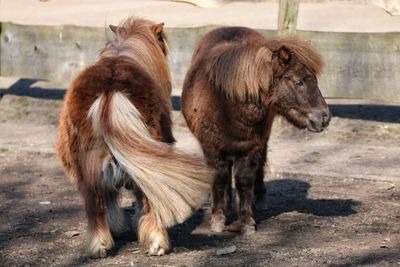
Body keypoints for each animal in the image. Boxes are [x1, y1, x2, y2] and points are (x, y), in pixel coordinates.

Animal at [56, 17, 214, 258]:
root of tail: (110, 92)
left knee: (95, 205)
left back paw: (98, 247)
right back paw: (157, 244)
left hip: (88, 164)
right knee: (149, 200)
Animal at [182, 27, 332, 236]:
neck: (226, 102)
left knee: (259, 166)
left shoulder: (252, 146)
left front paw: (247, 222)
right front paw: (218, 219)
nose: (325, 117)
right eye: (298, 81)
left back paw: (258, 200)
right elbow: (219, 178)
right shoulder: (212, 148)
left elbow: (245, 180)